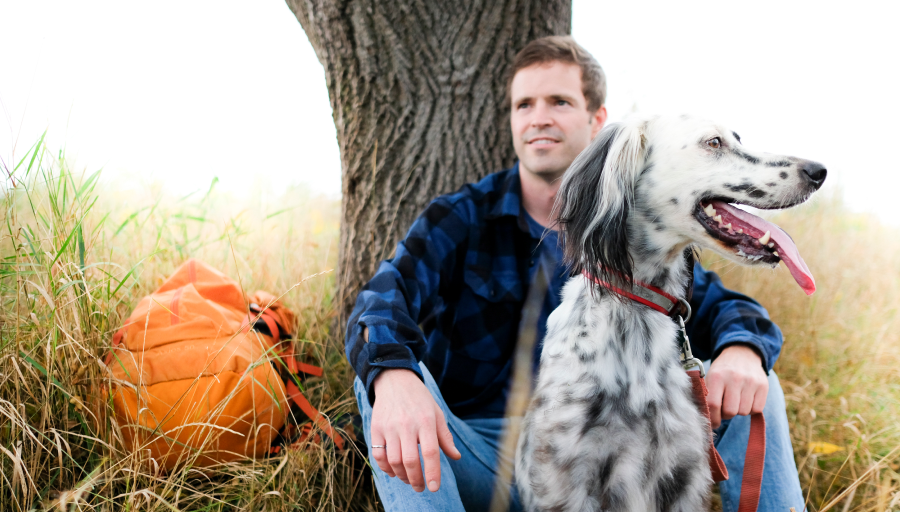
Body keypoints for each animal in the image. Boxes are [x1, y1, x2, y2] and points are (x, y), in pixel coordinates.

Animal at [516, 114, 828, 510]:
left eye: (738, 138)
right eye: (714, 143)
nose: (818, 170)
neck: (635, 306)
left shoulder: (684, 473)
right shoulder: (567, 484)